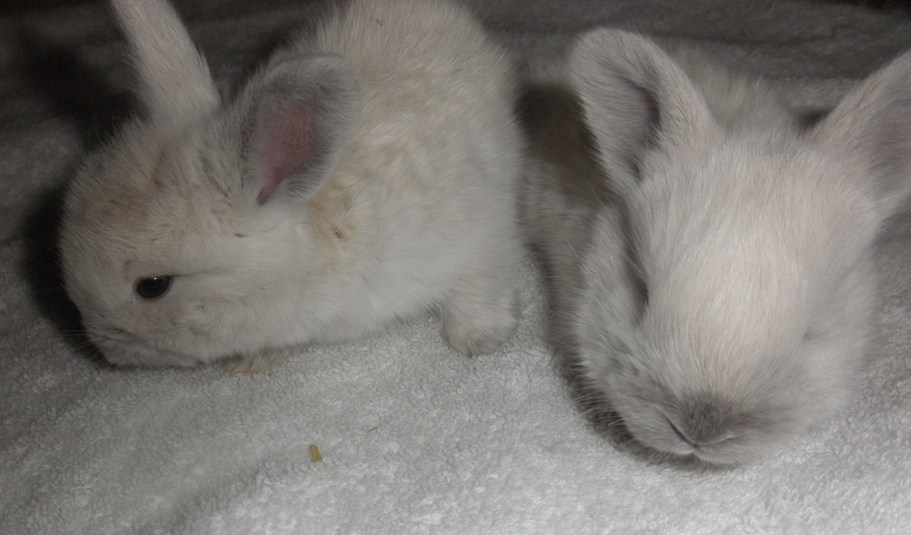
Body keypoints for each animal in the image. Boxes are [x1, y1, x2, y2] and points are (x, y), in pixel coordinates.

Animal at [60, 0, 524, 370]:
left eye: (153, 286)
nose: (105, 348)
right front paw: (254, 363)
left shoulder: (476, 240)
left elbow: (476, 291)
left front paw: (478, 341)